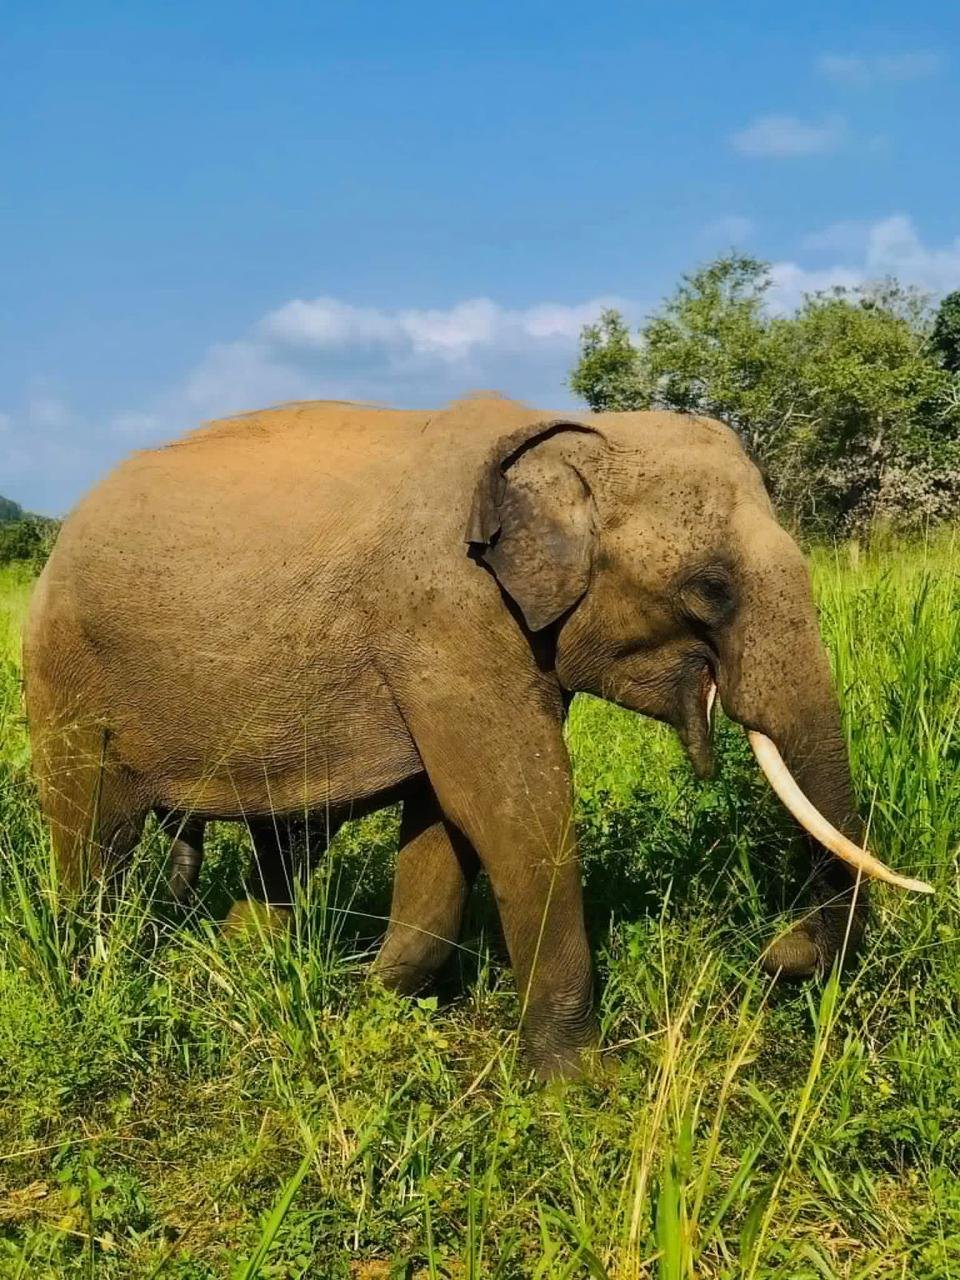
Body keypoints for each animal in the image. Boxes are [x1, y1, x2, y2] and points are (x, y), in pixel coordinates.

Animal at [22, 393, 930, 1078]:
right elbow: (512, 807)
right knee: (93, 833)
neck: (565, 439)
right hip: (64, 667)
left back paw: (256, 961)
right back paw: (94, 979)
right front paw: (576, 1087)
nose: (778, 958)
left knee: (282, 839)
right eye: (709, 588)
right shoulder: (446, 614)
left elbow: (444, 820)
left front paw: (374, 1000)